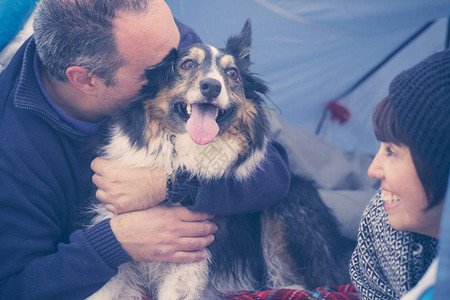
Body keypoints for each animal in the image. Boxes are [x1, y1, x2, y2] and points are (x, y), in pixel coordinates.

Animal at [88, 19, 354, 298]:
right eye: (187, 64)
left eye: (232, 73)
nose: (211, 86)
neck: (183, 153)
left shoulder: (188, 262)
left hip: (292, 200)